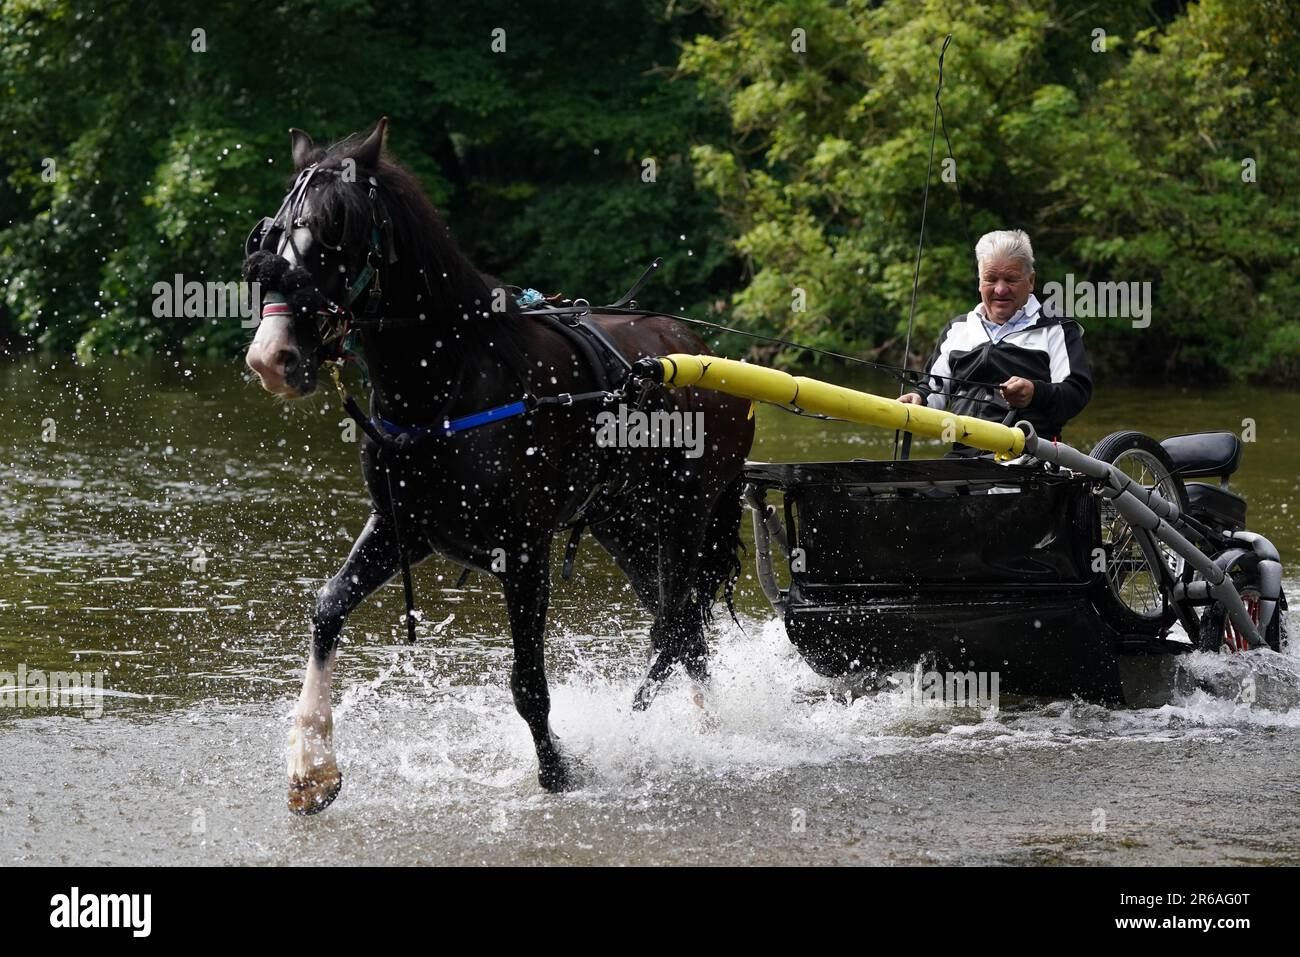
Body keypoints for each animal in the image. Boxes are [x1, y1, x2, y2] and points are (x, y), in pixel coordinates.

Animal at [242, 118, 754, 813]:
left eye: (332, 233)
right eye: (270, 233)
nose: (272, 358)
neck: (452, 380)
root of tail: (695, 349)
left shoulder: (525, 548)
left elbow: (528, 682)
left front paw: (559, 772)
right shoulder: (402, 526)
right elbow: (327, 609)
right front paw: (311, 766)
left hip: (685, 517)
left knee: (676, 627)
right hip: (620, 524)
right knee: (684, 633)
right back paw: (708, 731)